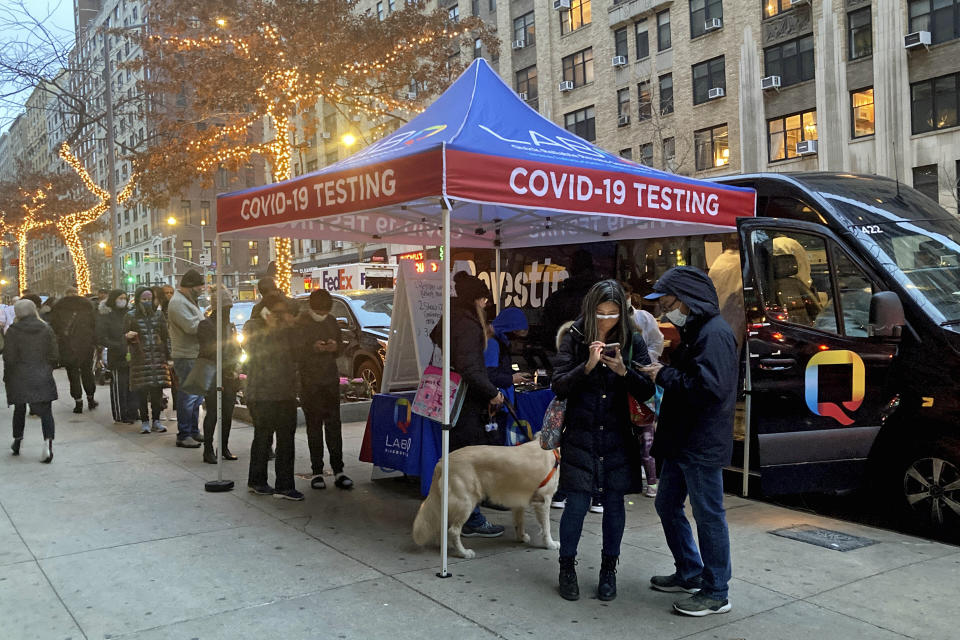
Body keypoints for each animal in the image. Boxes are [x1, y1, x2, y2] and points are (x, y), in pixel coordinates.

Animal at [410, 442, 560, 556]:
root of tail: (441, 462)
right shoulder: (543, 501)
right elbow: (546, 527)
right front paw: (550, 544)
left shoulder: (518, 502)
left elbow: (519, 522)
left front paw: (521, 537)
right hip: (466, 503)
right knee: (453, 531)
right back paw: (464, 553)